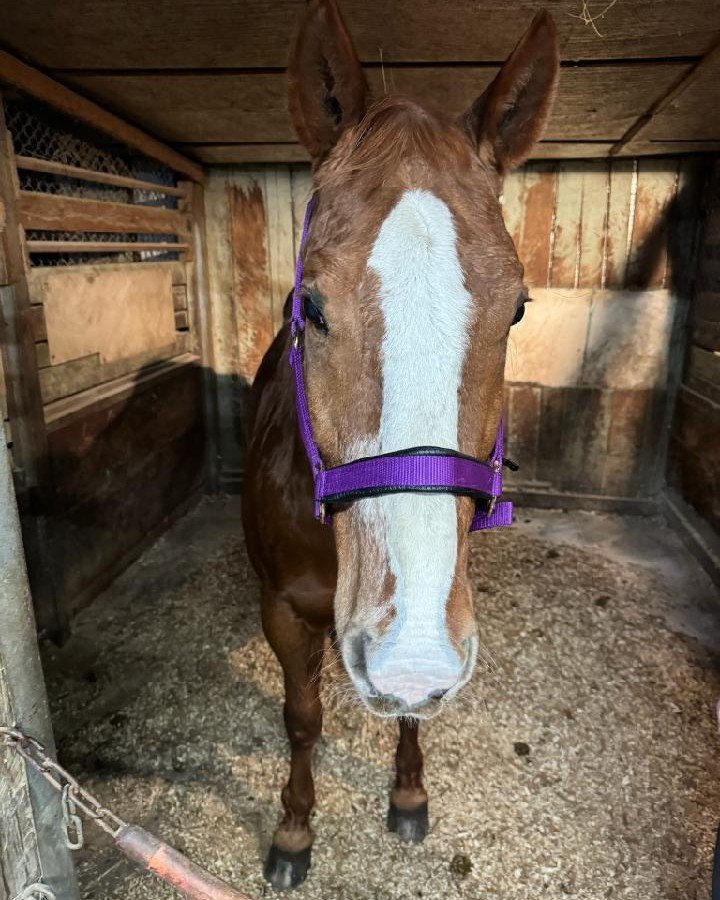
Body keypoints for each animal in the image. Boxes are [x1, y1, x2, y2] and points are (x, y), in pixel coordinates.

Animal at [240, 0, 556, 884]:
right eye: (310, 304)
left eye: (516, 309)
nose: (411, 651)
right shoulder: (283, 611)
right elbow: (303, 716)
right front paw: (294, 831)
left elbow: (413, 718)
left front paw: (409, 795)